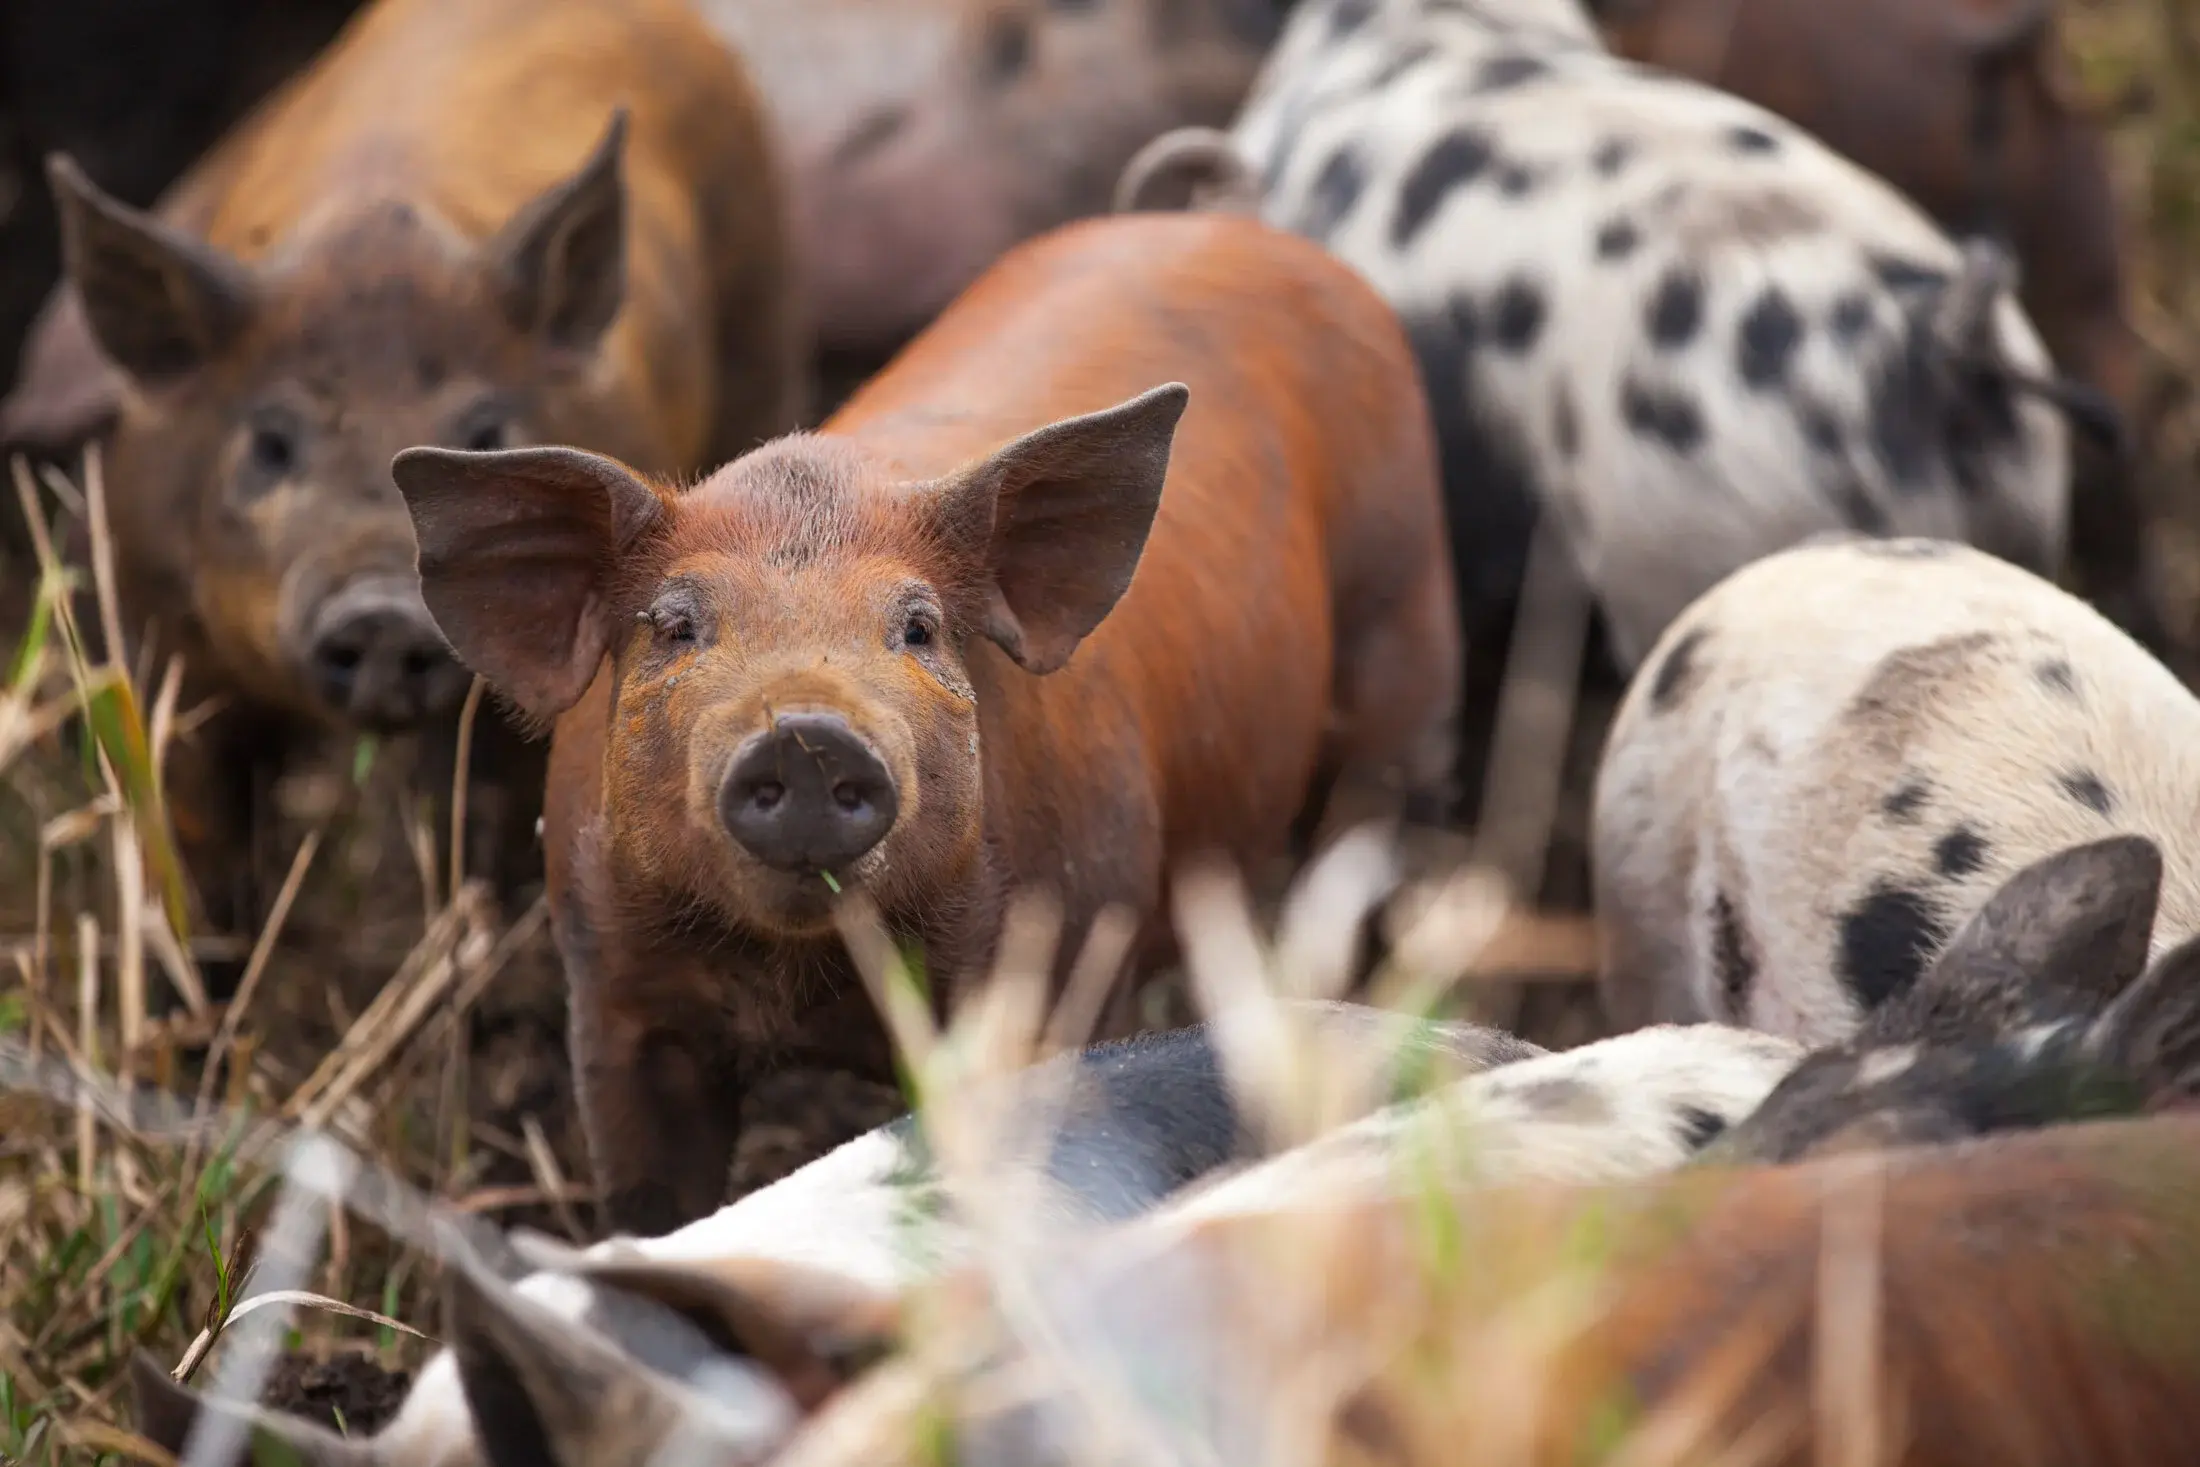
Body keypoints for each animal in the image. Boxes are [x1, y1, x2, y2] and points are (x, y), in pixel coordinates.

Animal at [388, 210, 1463, 1235]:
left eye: (918, 627)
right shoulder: (610, 988)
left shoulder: (1067, 958)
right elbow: (652, 1193)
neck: (804, 982)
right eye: (675, 625)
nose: (806, 733)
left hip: (1400, 643)